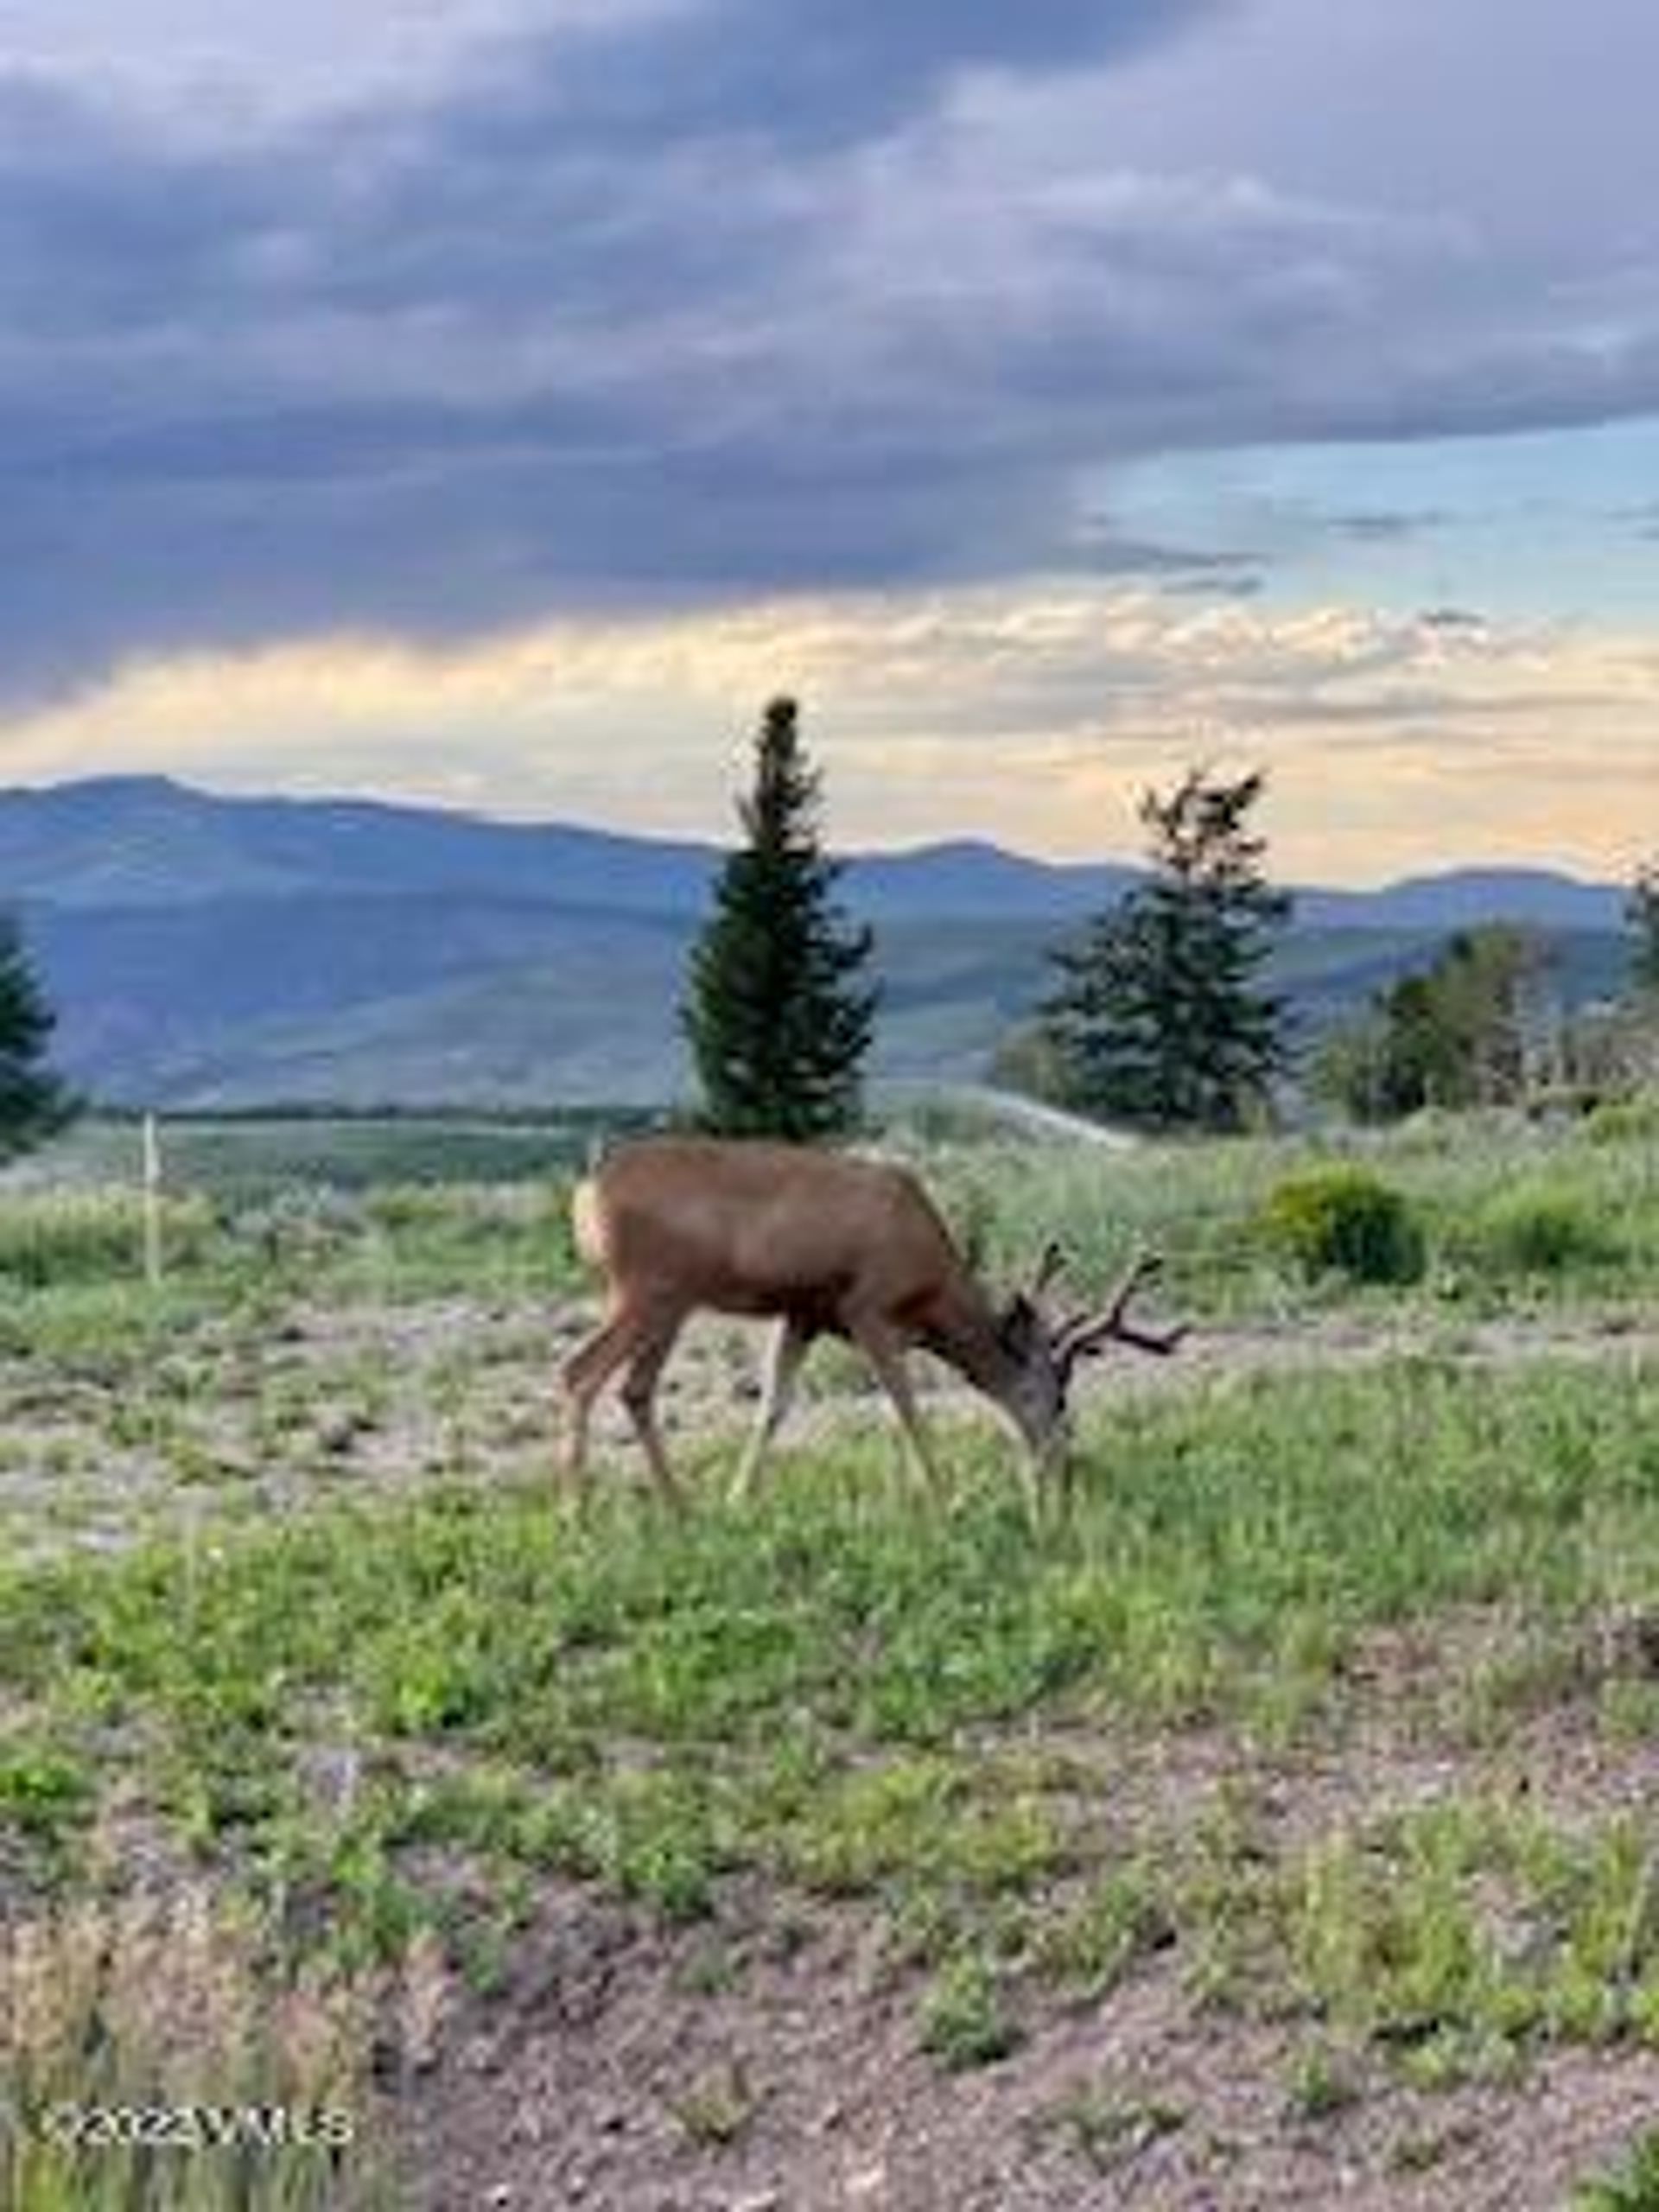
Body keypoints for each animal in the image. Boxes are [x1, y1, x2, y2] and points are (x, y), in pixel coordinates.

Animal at [566, 1132, 1185, 1513]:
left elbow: (773, 1406)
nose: (1065, 1465)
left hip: (665, 1301)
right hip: (649, 1290)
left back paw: (683, 1507)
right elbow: (904, 1404)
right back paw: (579, 1513)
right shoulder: (866, 1308)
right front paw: (944, 1497)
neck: (930, 1281)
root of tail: (588, 1191)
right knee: (582, 1371)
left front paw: (738, 1499)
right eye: (1055, 1395)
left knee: (633, 1388)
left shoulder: (804, 1312)